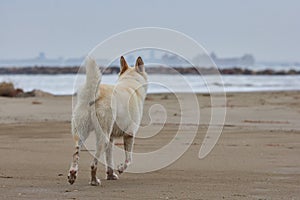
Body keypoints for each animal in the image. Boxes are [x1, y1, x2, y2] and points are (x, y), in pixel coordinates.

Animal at [68, 55, 148, 185]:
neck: (131, 82)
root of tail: (94, 95)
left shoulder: (111, 138)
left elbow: (109, 158)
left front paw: (110, 175)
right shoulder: (129, 134)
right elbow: (128, 159)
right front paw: (120, 169)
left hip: (81, 133)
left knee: (76, 152)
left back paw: (72, 174)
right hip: (103, 137)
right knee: (93, 163)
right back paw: (94, 180)